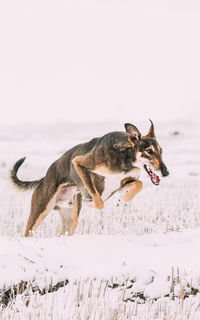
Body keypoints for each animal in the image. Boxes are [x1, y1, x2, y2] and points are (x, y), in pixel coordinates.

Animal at [9, 121, 169, 236]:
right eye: (149, 151)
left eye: (161, 151)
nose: (166, 172)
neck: (126, 156)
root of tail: (43, 178)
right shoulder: (79, 163)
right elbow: (99, 201)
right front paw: (91, 202)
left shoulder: (124, 182)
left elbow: (139, 184)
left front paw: (123, 200)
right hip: (39, 212)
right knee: (28, 231)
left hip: (70, 220)